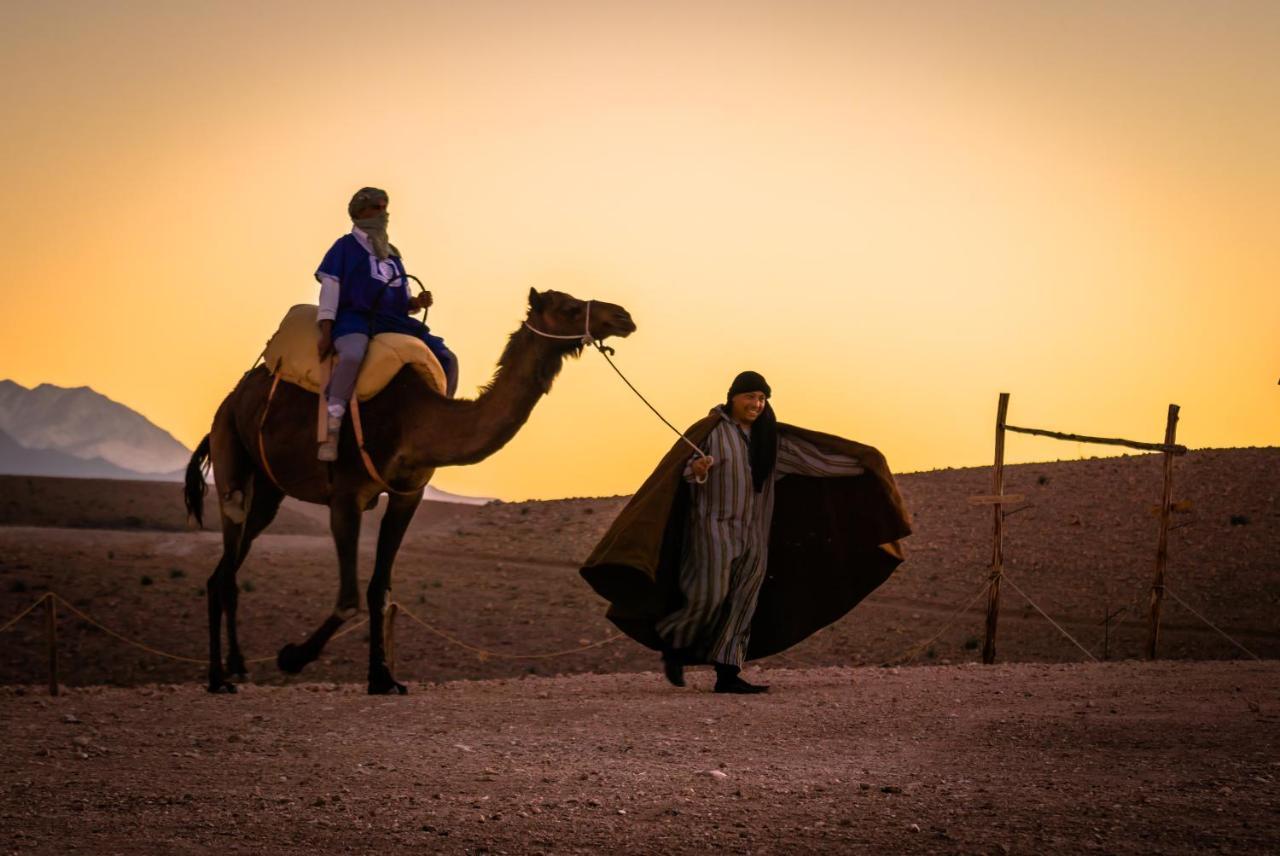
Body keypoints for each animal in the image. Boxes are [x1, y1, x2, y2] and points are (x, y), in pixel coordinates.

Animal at [184, 286, 634, 696]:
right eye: (570, 307)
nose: (623, 316)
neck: (413, 421)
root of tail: (232, 399)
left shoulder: (407, 494)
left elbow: (378, 589)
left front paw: (383, 678)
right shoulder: (346, 496)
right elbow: (349, 596)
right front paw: (292, 656)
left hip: (268, 489)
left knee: (225, 571)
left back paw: (233, 668)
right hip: (231, 452)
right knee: (226, 560)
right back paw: (220, 676)